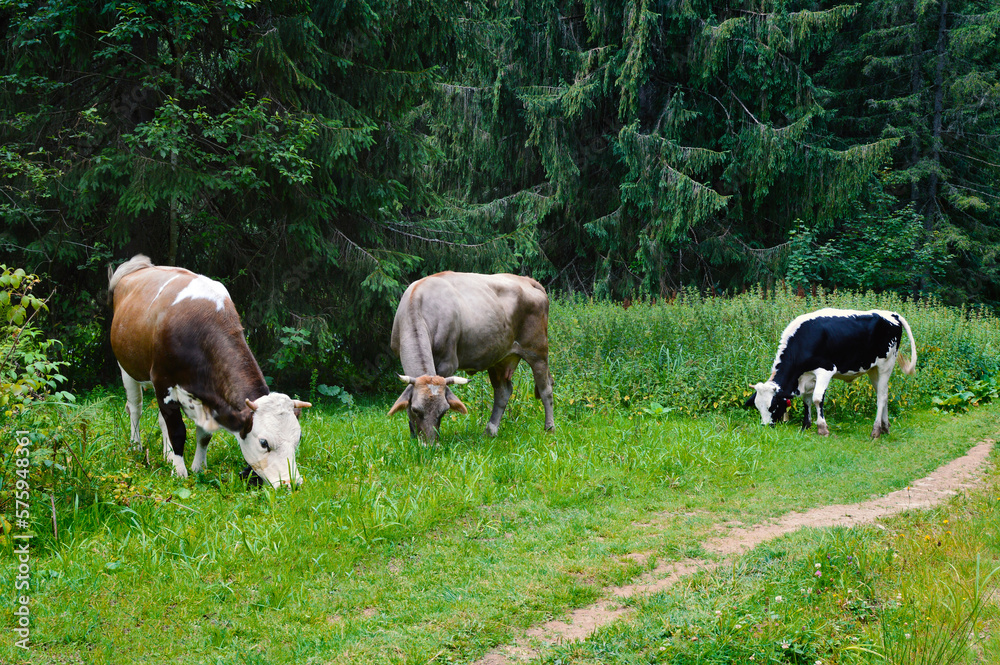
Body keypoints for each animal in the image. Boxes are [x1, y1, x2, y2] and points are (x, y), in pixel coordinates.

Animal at [108, 255, 311, 487]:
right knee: (135, 408)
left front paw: (198, 467)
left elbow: (203, 435)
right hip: (126, 367)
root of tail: (138, 267)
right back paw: (136, 446)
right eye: (264, 442)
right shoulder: (163, 381)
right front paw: (179, 472)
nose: (293, 483)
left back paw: (167, 455)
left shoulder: (209, 397)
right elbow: (177, 430)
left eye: (298, 439)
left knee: (161, 419)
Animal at [388, 271, 555, 442]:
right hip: (499, 358)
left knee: (545, 388)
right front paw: (413, 435)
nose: (431, 444)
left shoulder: (447, 363)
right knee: (503, 391)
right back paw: (489, 431)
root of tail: (526, 280)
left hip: (538, 351)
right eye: (415, 409)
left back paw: (549, 429)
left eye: (444, 411)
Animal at [746, 308, 917, 438]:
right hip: (873, 369)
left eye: (773, 406)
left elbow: (817, 399)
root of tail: (892, 314)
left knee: (881, 397)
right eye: (757, 407)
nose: (766, 426)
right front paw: (805, 426)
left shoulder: (826, 370)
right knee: (885, 393)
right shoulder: (807, 377)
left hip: (886, 365)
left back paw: (876, 431)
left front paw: (822, 428)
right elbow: (806, 401)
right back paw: (885, 427)